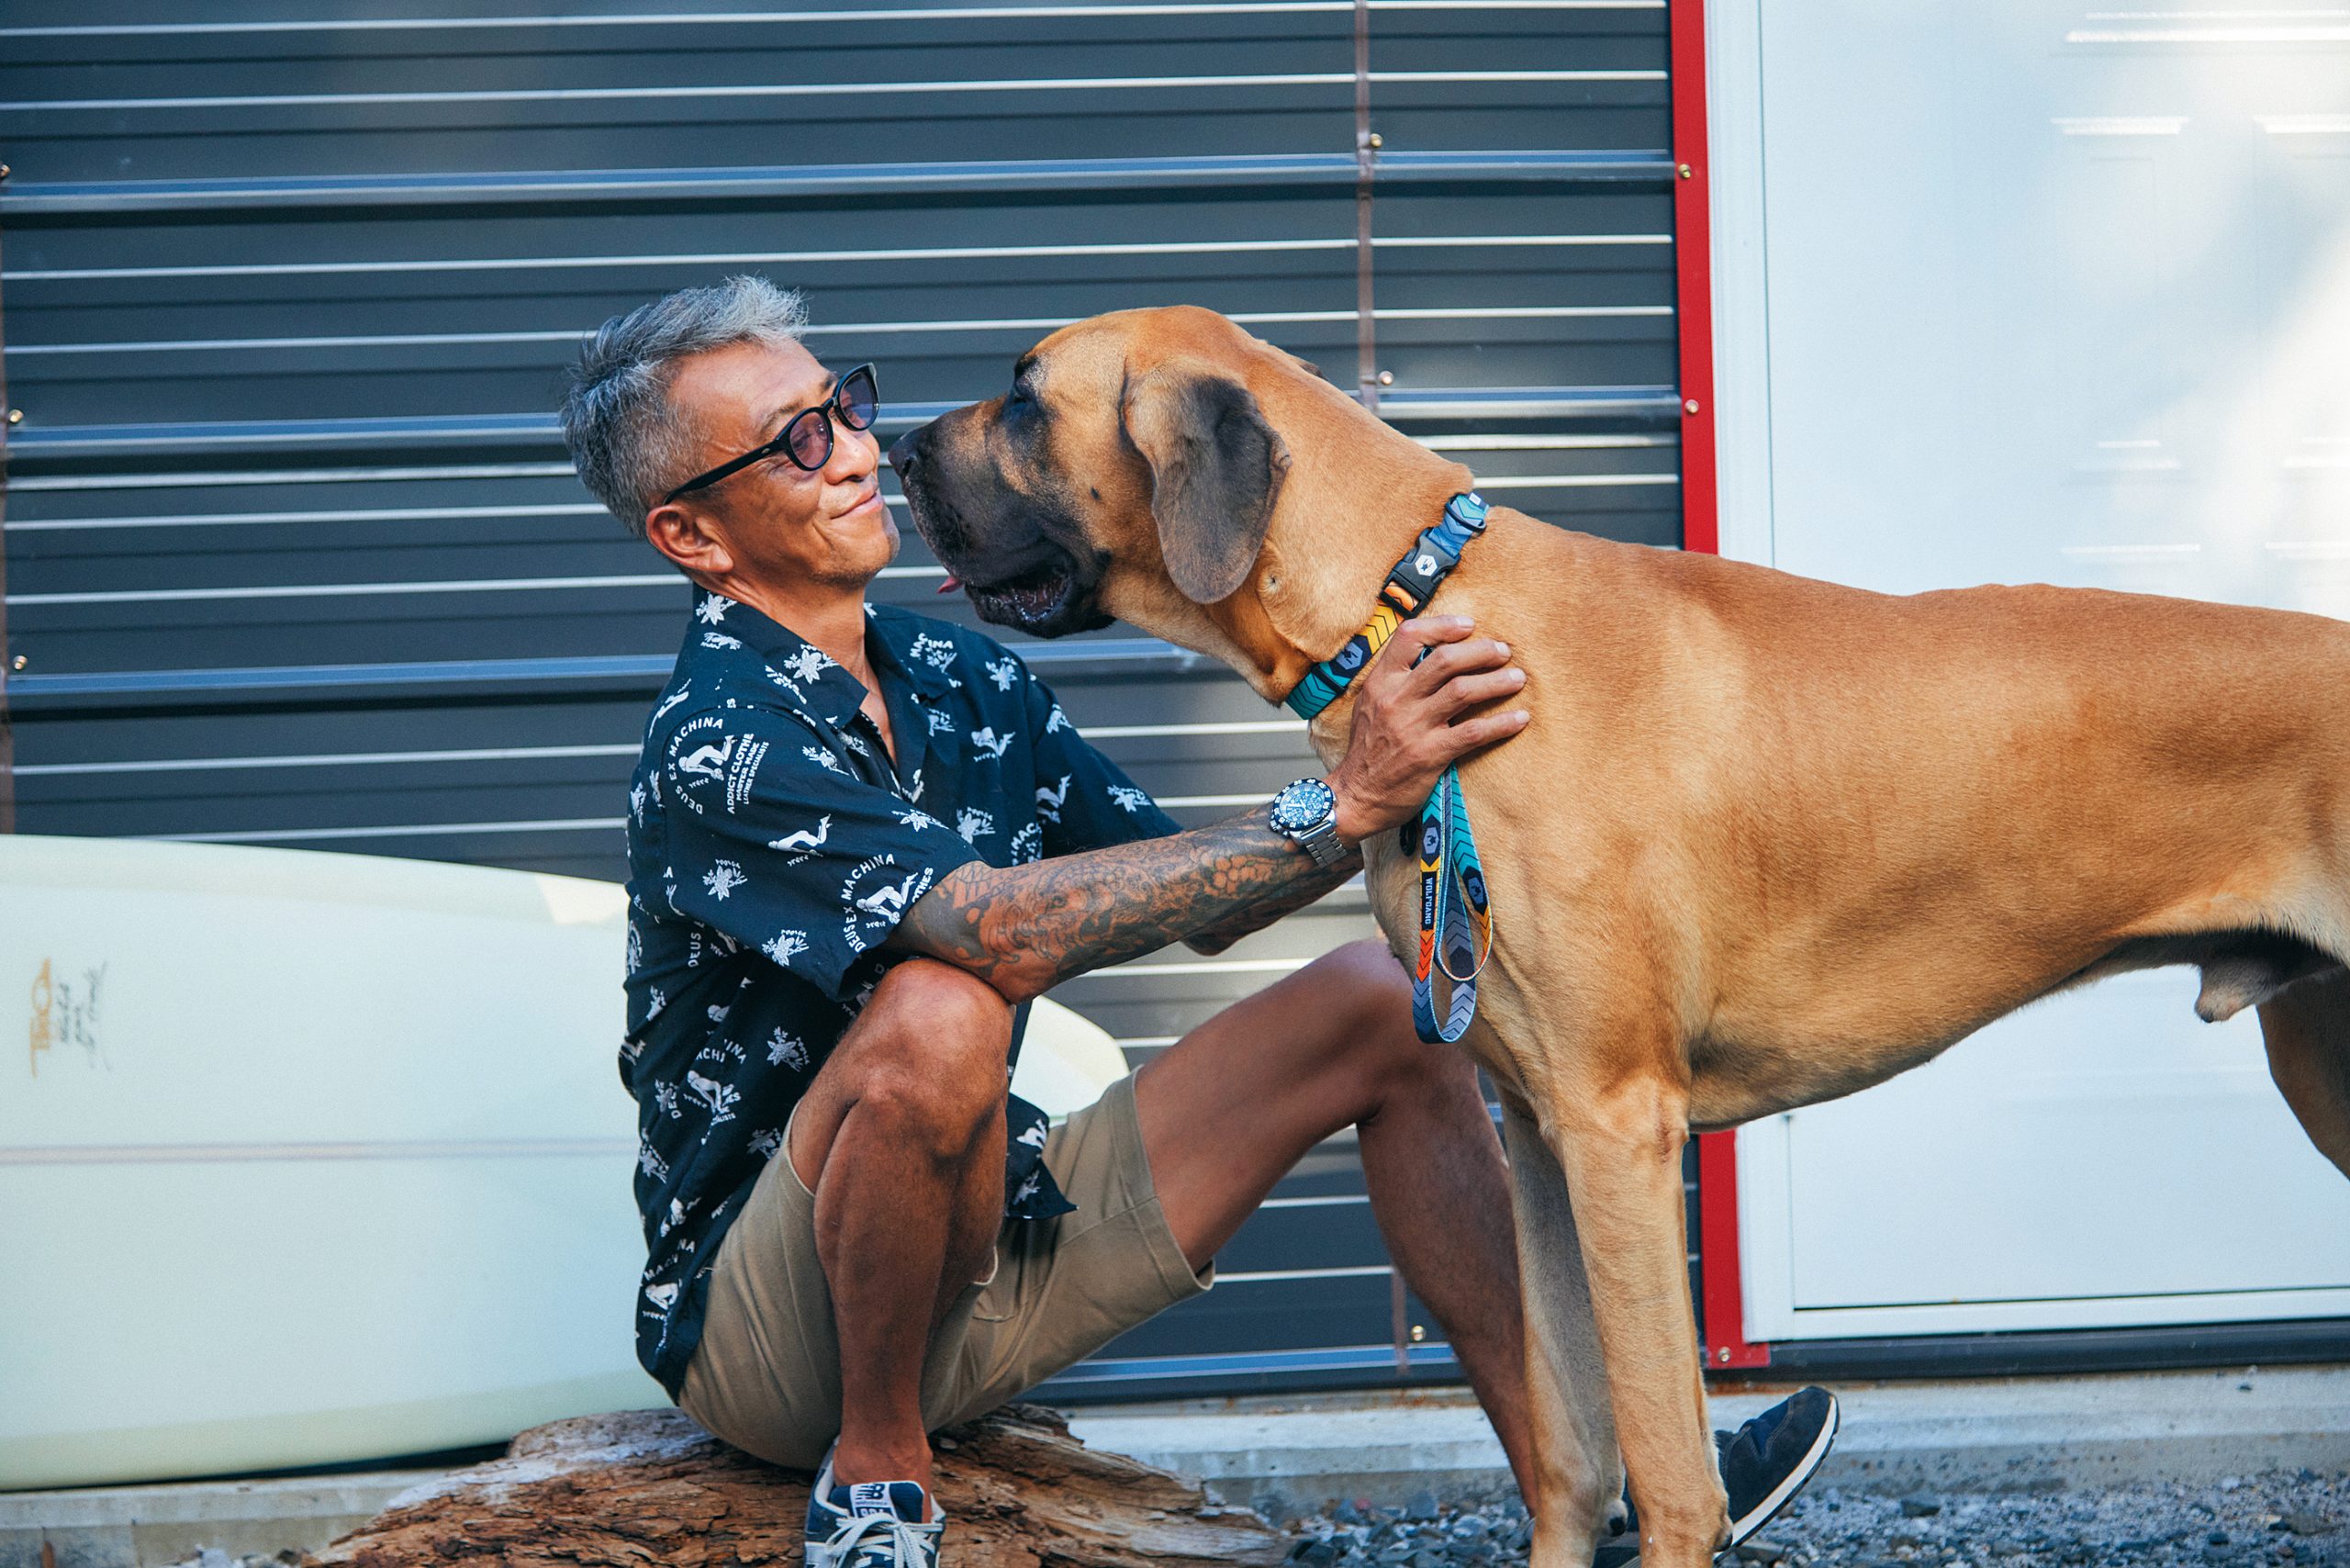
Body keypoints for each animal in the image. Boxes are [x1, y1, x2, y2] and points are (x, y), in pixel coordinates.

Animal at [883, 305, 2350, 1568]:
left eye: (1025, 396)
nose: (888, 438)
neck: (1411, 602)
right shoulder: (1536, 1130)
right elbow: (1568, 1443)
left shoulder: (1617, 1123)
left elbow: (1666, 1460)